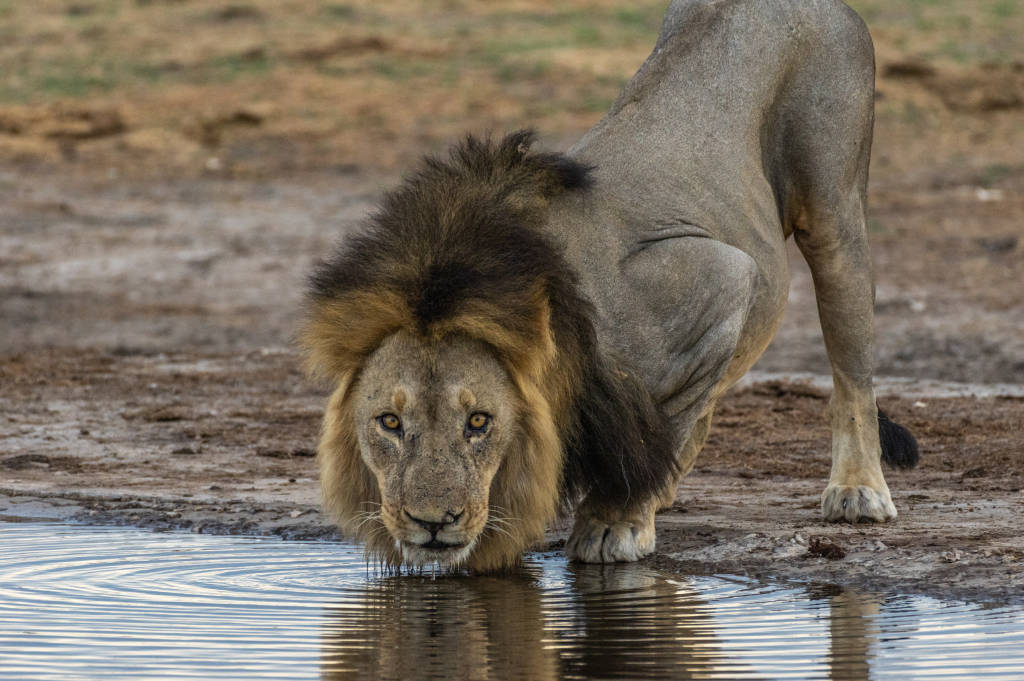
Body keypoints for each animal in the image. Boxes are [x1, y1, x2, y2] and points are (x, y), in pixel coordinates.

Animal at [301, 0, 921, 569]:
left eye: (479, 422)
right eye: (389, 423)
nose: (432, 523)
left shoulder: (723, 278)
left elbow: (666, 417)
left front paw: (613, 523)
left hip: (834, 214)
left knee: (851, 367)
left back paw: (858, 490)